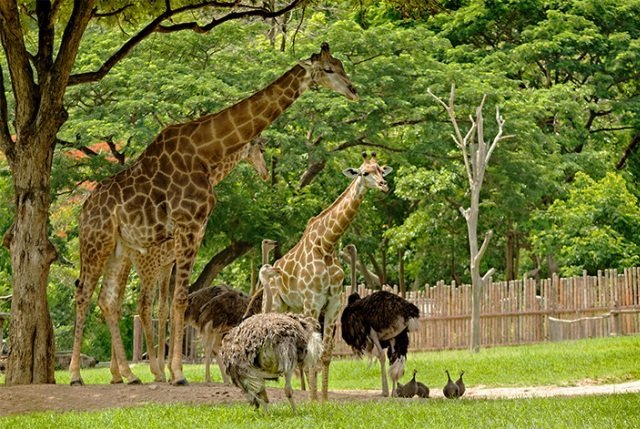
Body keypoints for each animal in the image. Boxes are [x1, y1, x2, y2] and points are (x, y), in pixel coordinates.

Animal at [106, 138, 269, 385]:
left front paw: (169, 370)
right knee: (137, 304)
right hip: (144, 265)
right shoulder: (175, 258)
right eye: (260, 148)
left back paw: (119, 373)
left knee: (112, 302)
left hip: (127, 262)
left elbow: (166, 308)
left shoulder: (168, 264)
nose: (266, 172)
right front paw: (172, 371)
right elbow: (174, 305)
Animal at [259, 152, 392, 400]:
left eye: (381, 169)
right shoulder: (313, 302)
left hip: (290, 307)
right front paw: (312, 401)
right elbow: (313, 351)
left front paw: (324, 400)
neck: (327, 244)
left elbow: (326, 353)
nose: (383, 185)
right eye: (364, 172)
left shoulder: (333, 304)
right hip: (274, 303)